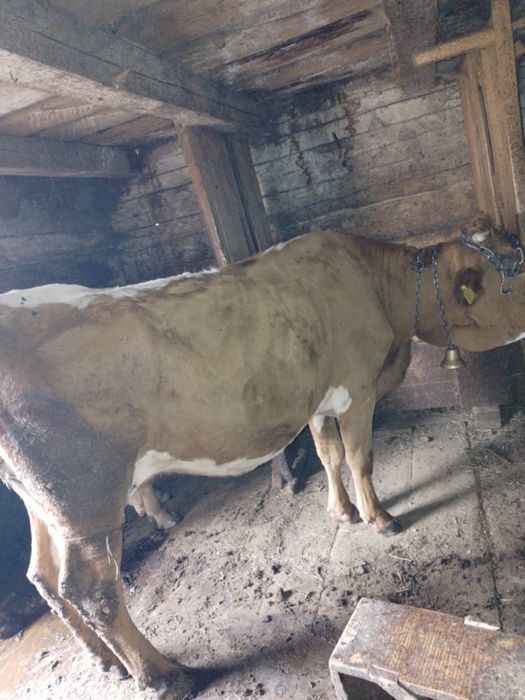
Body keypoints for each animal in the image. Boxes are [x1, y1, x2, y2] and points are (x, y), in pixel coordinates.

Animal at [0, 221, 523, 698]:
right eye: (514, 276)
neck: (376, 287)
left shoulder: (318, 399)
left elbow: (329, 455)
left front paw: (342, 512)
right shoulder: (357, 389)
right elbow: (359, 457)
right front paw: (379, 518)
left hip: (42, 500)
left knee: (43, 577)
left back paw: (106, 661)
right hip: (86, 499)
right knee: (92, 590)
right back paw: (162, 676)